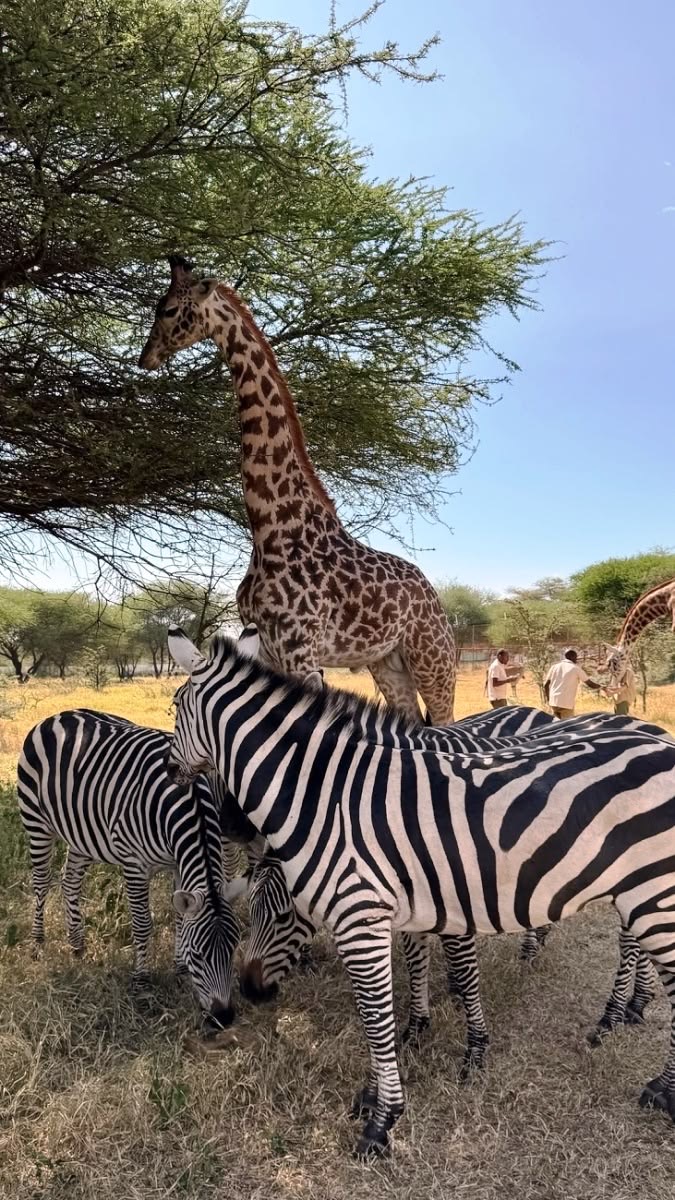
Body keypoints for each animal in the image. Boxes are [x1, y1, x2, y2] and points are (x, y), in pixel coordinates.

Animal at [18, 709, 240, 1030]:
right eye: (199, 955)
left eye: (234, 947)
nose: (224, 1018)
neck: (190, 804)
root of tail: (56, 715)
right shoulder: (135, 864)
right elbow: (143, 924)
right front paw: (142, 982)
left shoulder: (178, 863)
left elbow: (179, 919)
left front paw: (179, 970)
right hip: (36, 822)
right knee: (41, 883)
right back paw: (37, 944)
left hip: (83, 834)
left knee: (69, 881)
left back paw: (77, 945)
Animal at [139, 256, 456, 722]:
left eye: (167, 309)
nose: (146, 357)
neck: (269, 526)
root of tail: (433, 594)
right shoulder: (268, 646)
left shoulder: (300, 649)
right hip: (387, 661)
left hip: (433, 658)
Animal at [167, 627, 675, 1158]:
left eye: (175, 709)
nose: (249, 990)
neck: (330, 798)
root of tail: (652, 733)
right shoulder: (405, 905)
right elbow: (397, 987)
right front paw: (403, 1052)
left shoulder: (370, 916)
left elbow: (382, 1012)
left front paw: (387, 1117)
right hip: (637, 887)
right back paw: (630, 1008)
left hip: (652, 889)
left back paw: (645, 1063)